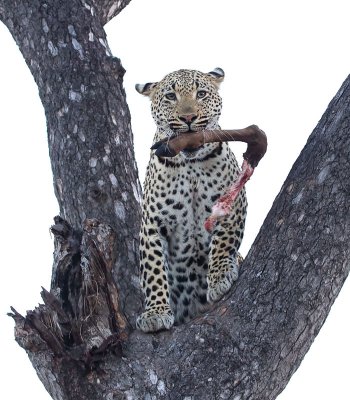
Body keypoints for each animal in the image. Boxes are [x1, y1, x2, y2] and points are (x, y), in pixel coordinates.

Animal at [134, 67, 246, 332]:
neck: (190, 164)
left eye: (201, 93)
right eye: (170, 96)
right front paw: (155, 313)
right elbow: (153, 268)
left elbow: (224, 241)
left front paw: (220, 277)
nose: (188, 118)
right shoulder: (153, 223)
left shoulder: (233, 203)